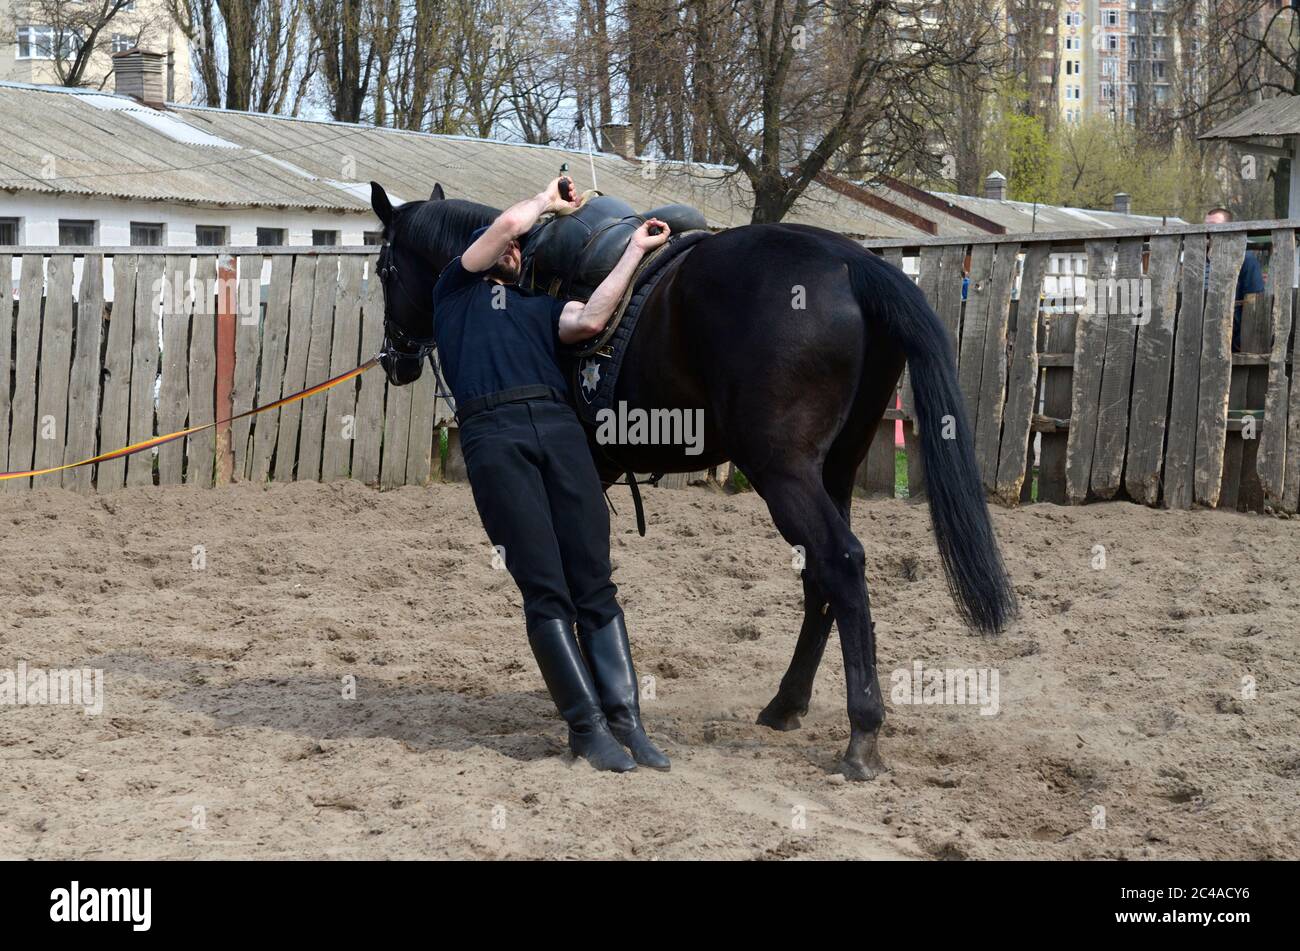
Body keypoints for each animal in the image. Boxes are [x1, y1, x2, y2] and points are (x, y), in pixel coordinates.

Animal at [369, 181, 1017, 780]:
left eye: (384, 268)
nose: (393, 359)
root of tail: (849, 262)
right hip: (833, 470)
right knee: (820, 579)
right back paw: (786, 703)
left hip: (783, 473)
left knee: (842, 564)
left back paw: (861, 735)